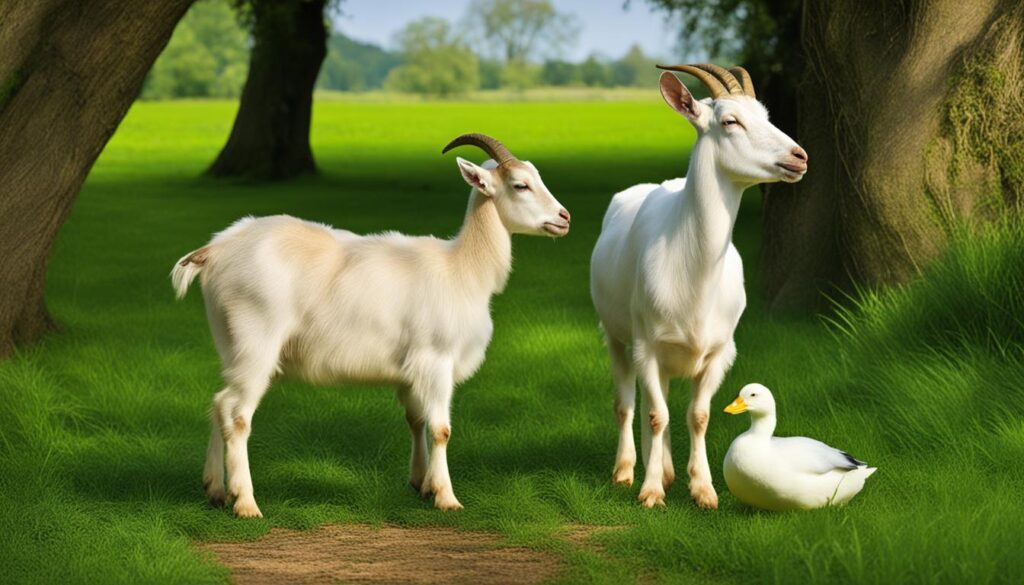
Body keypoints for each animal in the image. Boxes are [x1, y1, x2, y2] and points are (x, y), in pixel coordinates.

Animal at [172, 134, 570, 517]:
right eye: (520, 185)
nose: (564, 217)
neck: (463, 269)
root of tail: (214, 251)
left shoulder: (411, 371)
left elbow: (415, 420)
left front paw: (421, 484)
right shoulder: (437, 359)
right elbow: (441, 429)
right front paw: (446, 497)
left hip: (230, 342)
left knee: (218, 403)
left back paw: (215, 490)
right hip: (257, 340)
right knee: (237, 413)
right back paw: (246, 503)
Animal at [590, 65, 808, 508]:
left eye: (765, 114)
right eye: (730, 121)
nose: (799, 157)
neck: (694, 277)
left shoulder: (720, 351)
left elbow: (698, 415)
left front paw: (703, 489)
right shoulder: (647, 344)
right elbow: (656, 414)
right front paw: (650, 491)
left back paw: (667, 470)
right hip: (617, 336)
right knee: (628, 403)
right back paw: (626, 471)